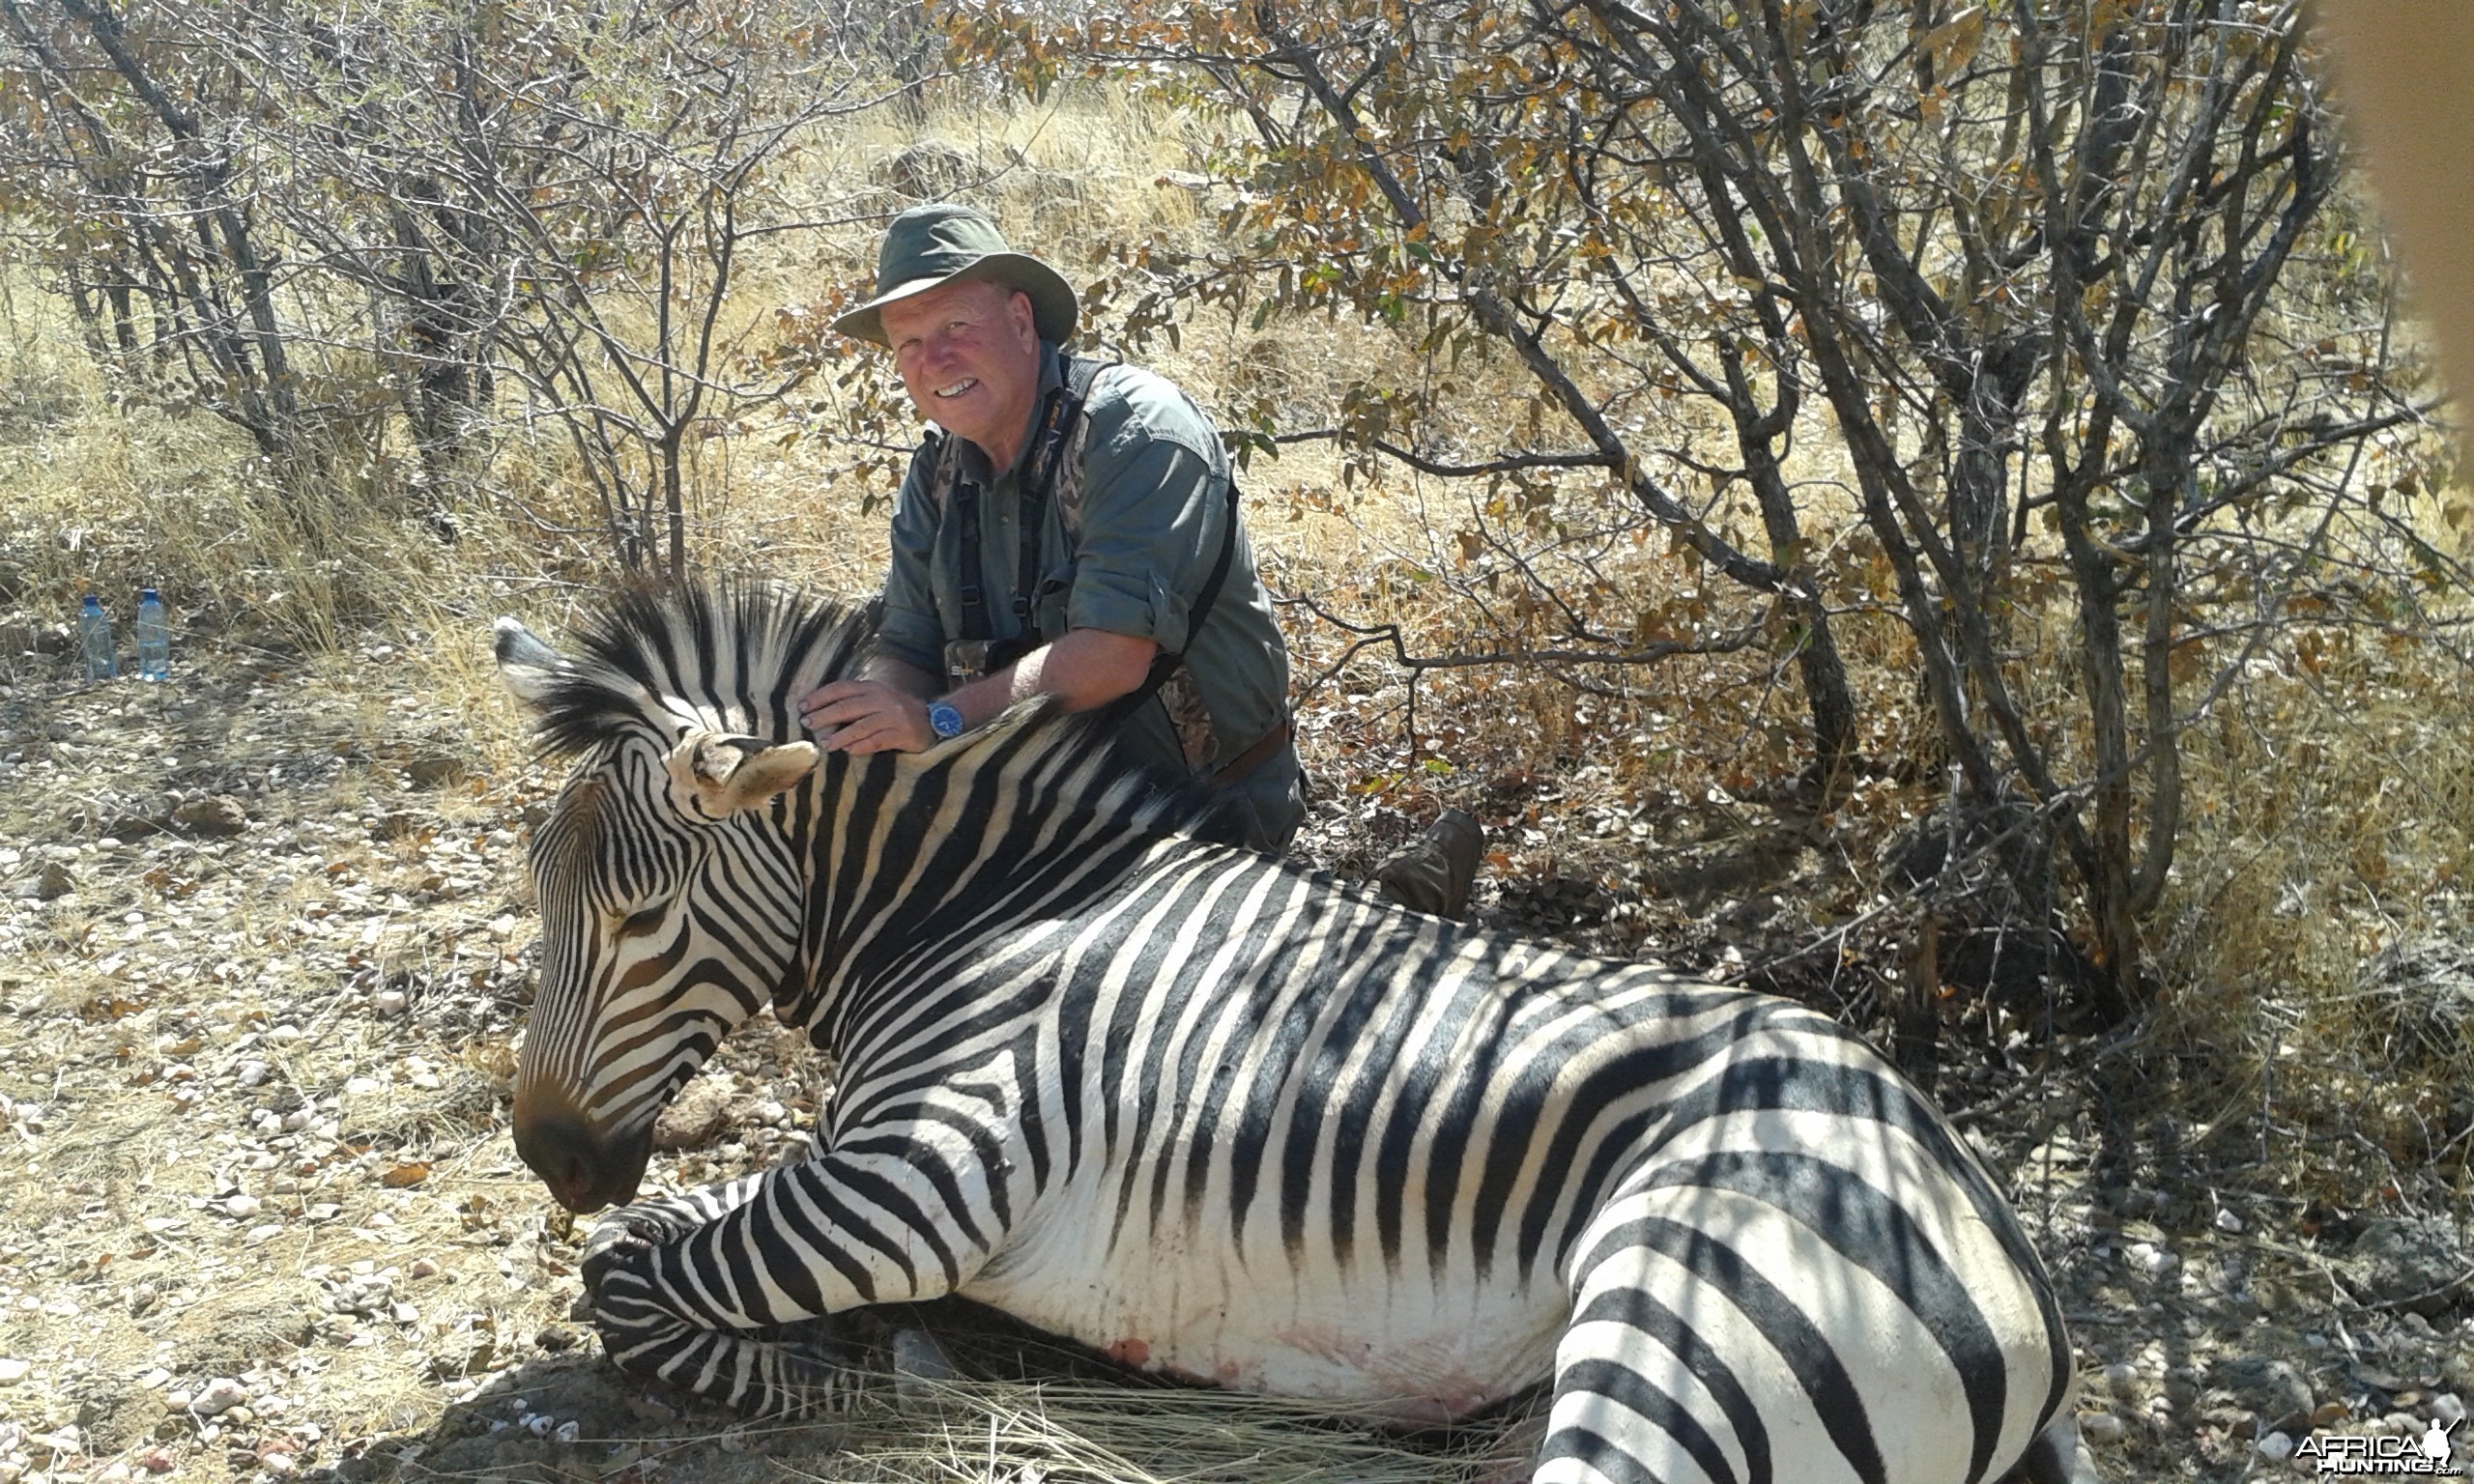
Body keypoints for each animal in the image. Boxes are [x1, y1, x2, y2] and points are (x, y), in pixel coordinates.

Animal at [492, 585, 2097, 1484]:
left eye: (639, 920)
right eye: (539, 898)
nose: (547, 1154)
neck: (983, 907)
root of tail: (1995, 1229)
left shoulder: (922, 1174)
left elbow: (626, 1276)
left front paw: (834, 1381)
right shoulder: (855, 1162)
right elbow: (641, 1246)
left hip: (1684, 1315)